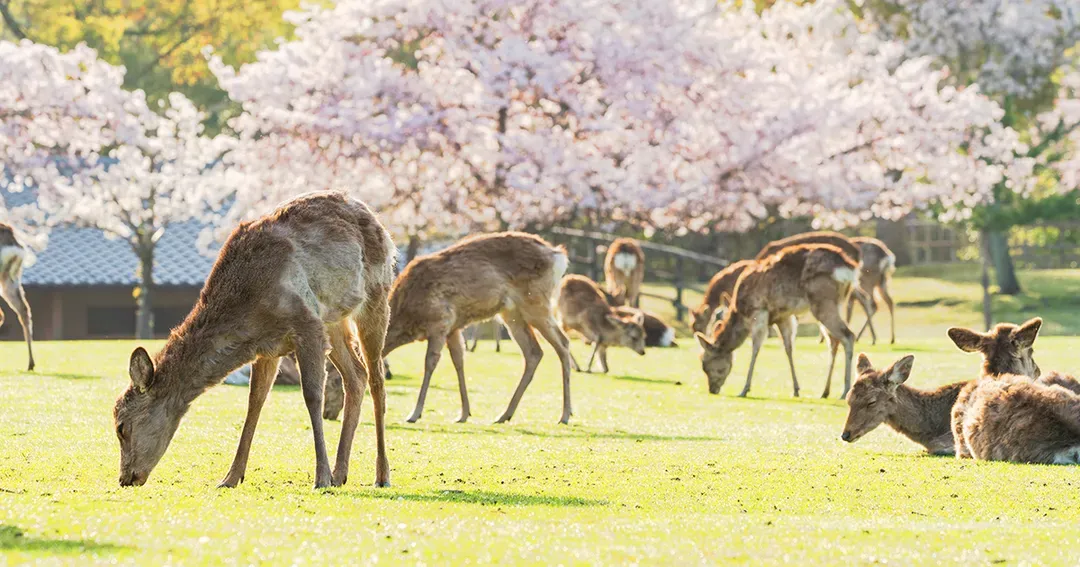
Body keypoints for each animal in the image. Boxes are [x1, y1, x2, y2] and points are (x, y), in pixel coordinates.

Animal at [113, 192, 396, 489]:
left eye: (121, 426)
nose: (125, 478)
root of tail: (373, 216)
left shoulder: (307, 323)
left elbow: (311, 395)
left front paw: (321, 477)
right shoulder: (268, 347)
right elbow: (254, 401)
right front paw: (230, 477)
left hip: (376, 295)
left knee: (377, 380)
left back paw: (380, 475)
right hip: (334, 319)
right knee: (356, 376)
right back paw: (341, 474)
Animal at [383, 232, 575, 425]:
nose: (388, 375)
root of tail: (558, 255)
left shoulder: (440, 321)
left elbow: (430, 362)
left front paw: (414, 413)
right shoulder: (453, 328)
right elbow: (459, 361)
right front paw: (464, 413)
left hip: (536, 302)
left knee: (562, 343)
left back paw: (565, 415)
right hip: (512, 313)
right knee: (534, 352)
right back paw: (505, 414)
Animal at [695, 244, 857, 399]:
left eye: (704, 363)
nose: (712, 389)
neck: (740, 314)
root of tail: (850, 268)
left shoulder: (759, 311)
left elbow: (755, 347)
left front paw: (744, 389)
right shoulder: (783, 317)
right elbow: (788, 348)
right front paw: (796, 389)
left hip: (822, 302)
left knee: (848, 335)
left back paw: (845, 391)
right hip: (838, 303)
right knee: (834, 341)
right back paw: (825, 392)